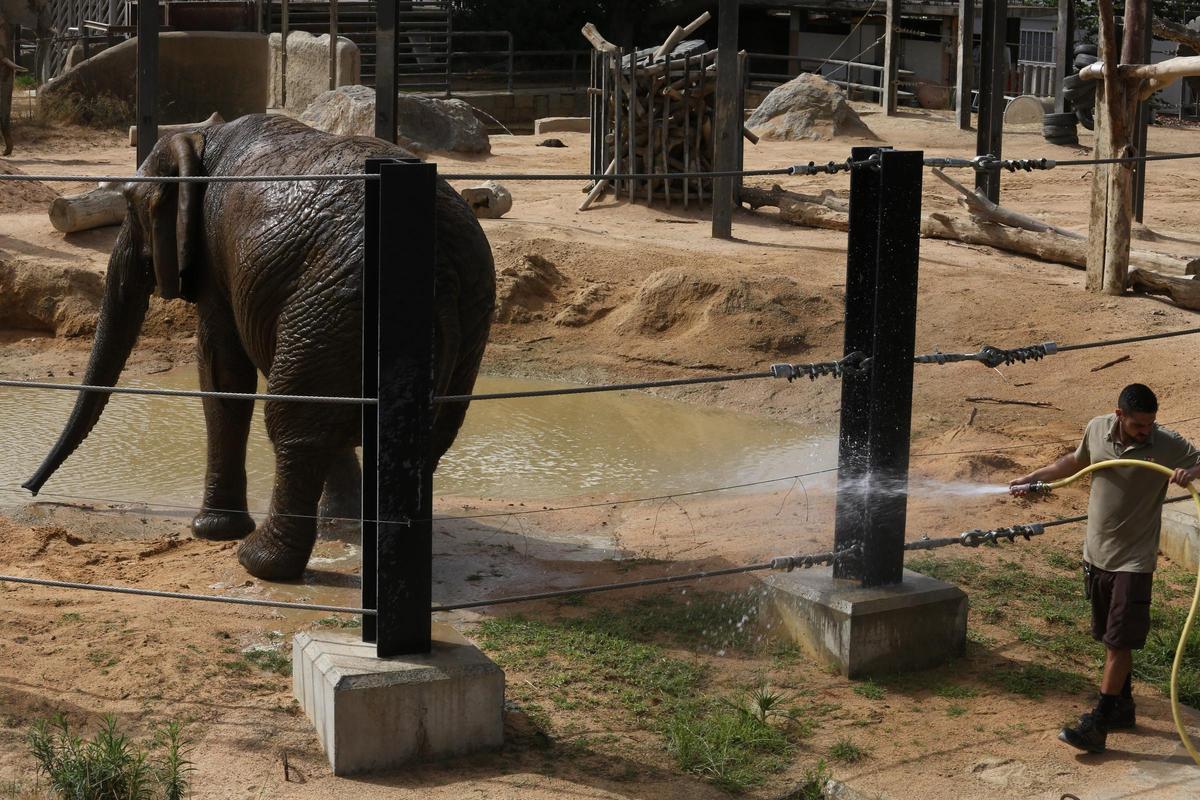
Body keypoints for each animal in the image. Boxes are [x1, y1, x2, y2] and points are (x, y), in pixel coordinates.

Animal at [25, 112, 499, 578]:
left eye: (129, 206)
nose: (28, 488)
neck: (202, 136)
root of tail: (439, 270)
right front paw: (342, 524)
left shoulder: (216, 254)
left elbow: (221, 370)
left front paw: (212, 531)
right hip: (456, 310)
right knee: (416, 431)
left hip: (337, 299)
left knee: (297, 422)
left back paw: (260, 563)